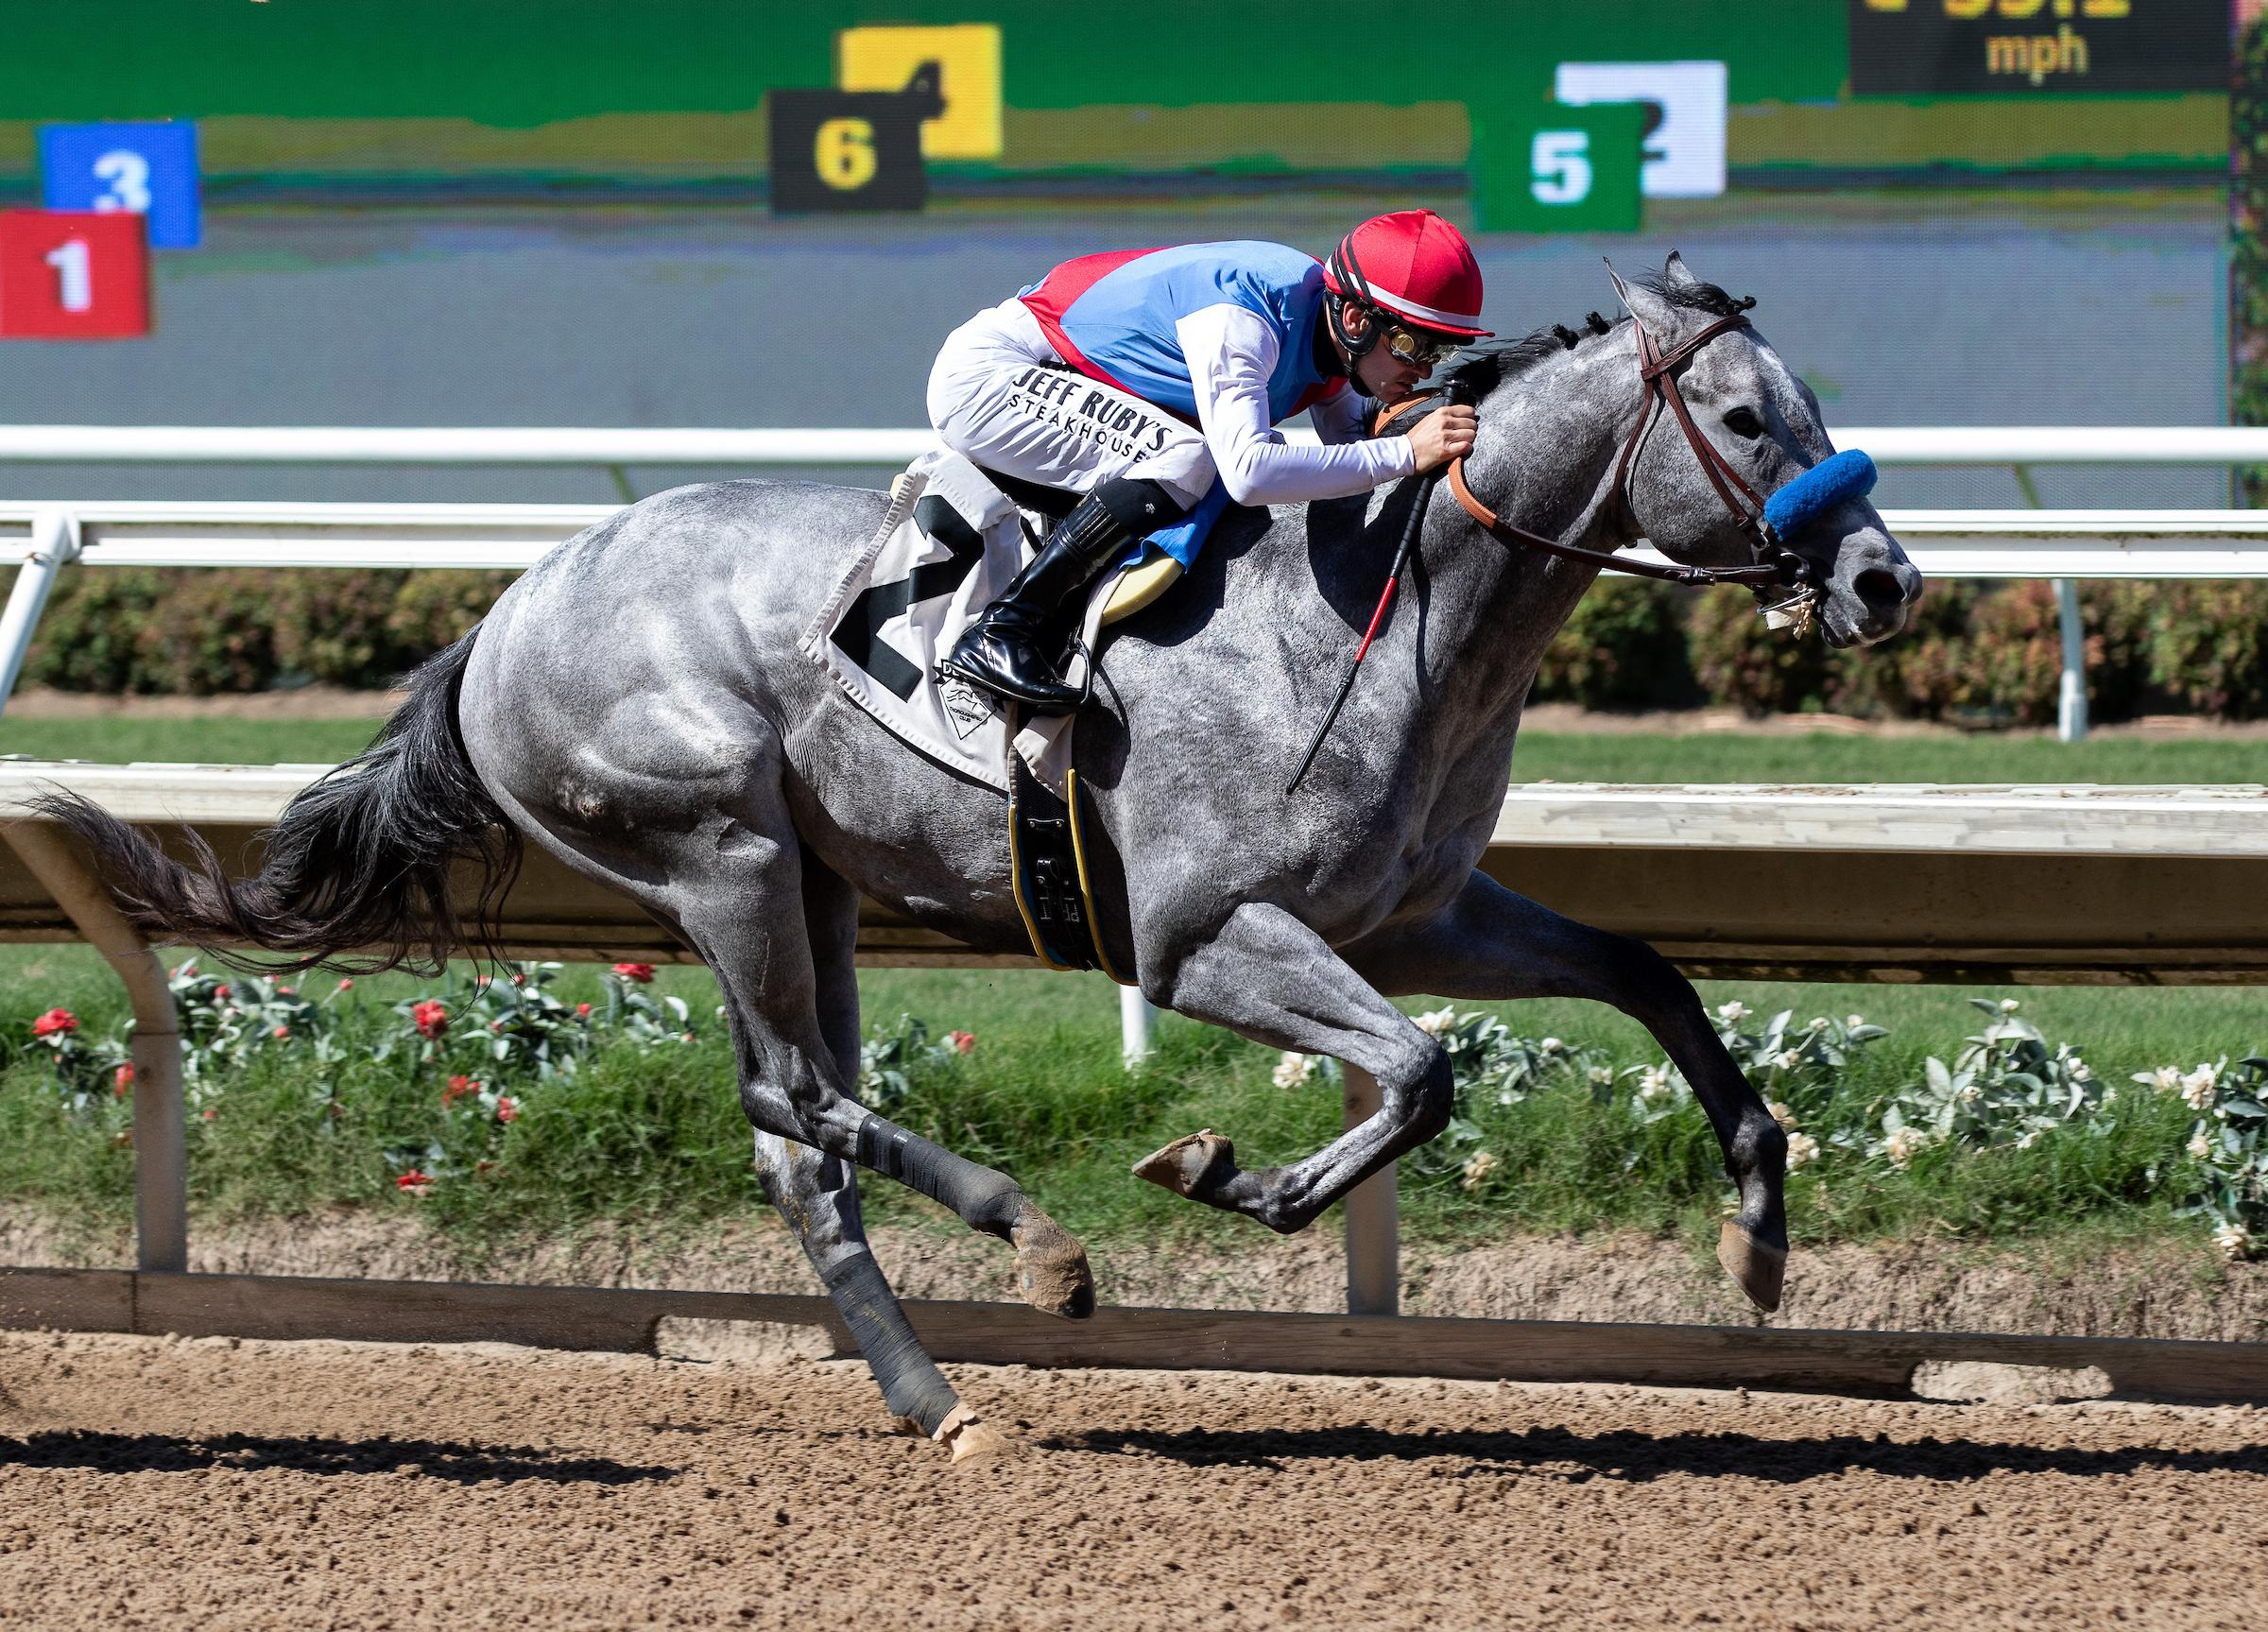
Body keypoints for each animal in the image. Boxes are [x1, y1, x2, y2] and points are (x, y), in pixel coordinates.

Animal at [40, 254, 1922, 1462]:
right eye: (1749, 417)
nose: (1885, 580)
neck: (1379, 618)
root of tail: (503, 613)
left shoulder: (1419, 910)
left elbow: (1639, 974)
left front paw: (1761, 1223)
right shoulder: (1194, 936)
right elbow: (1417, 1071)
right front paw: (1228, 1174)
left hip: (812, 877)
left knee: (795, 1137)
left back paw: (938, 1397)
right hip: (717, 845)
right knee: (798, 1095)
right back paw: (1035, 1240)